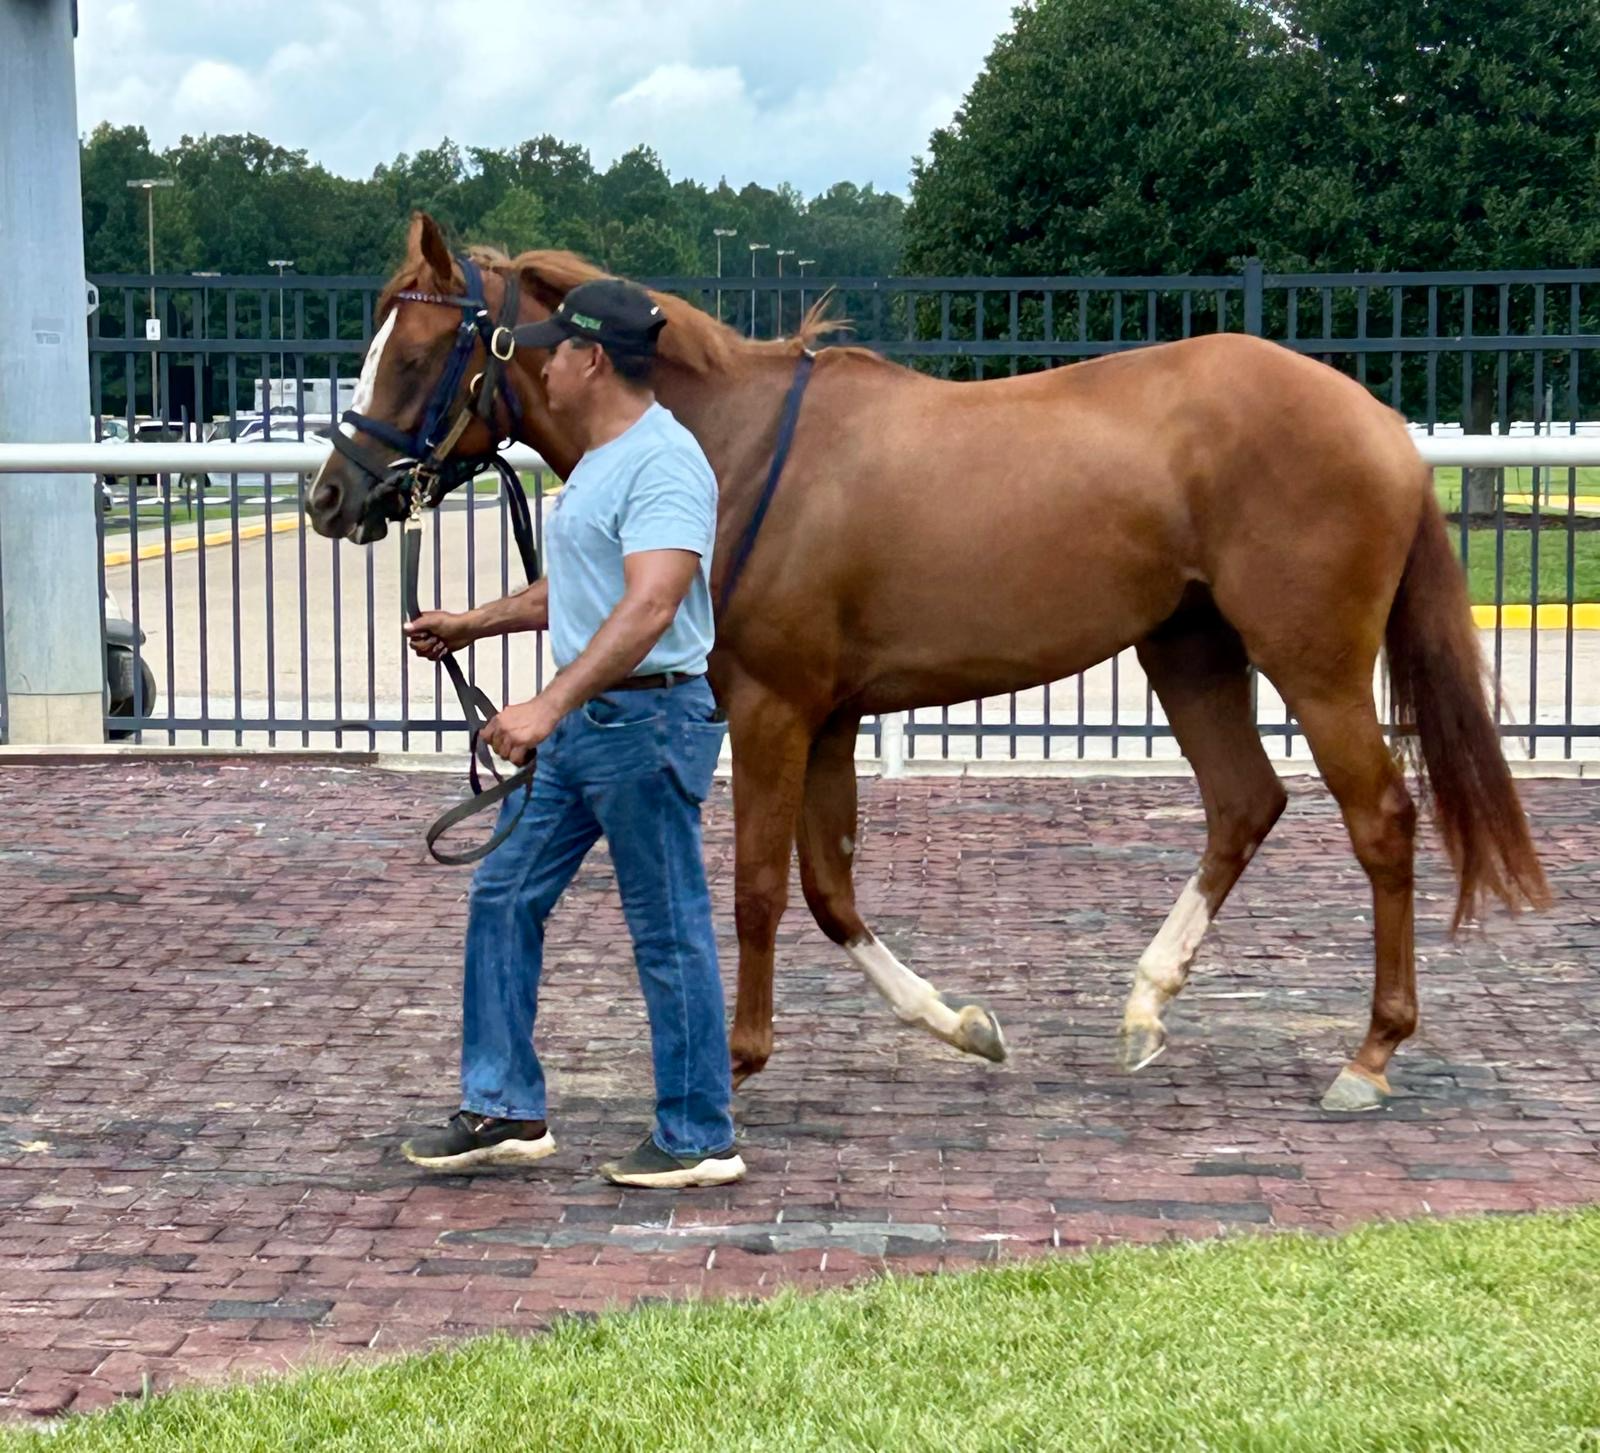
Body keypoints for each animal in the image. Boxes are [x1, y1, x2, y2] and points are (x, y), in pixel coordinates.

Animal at [307, 212, 1548, 1114]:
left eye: (412, 353)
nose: (331, 496)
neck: (734, 451)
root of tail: (1380, 425)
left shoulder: (770, 708)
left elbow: (757, 888)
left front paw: (739, 1063)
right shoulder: (830, 716)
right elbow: (828, 889)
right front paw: (958, 1023)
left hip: (1312, 661)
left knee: (1379, 820)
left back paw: (1368, 1055)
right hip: (1186, 647)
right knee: (1245, 802)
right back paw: (1145, 1007)